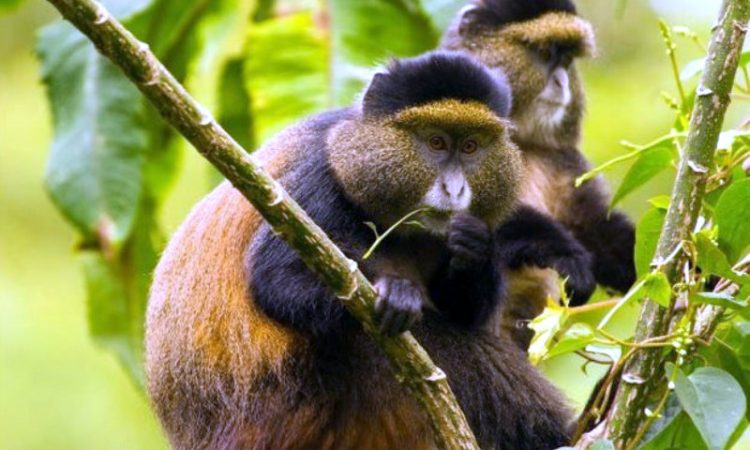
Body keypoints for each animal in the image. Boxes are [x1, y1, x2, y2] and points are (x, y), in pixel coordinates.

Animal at [146, 51, 579, 450]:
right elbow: (277, 281)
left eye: (471, 147)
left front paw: (474, 247)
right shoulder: (315, 180)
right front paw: (399, 295)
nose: (454, 189)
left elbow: (465, 309)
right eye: (436, 142)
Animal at [442, 0, 636, 348]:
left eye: (567, 60)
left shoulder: (563, 161)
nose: (562, 83)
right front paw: (565, 252)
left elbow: (596, 227)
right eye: (545, 53)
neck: (521, 141)